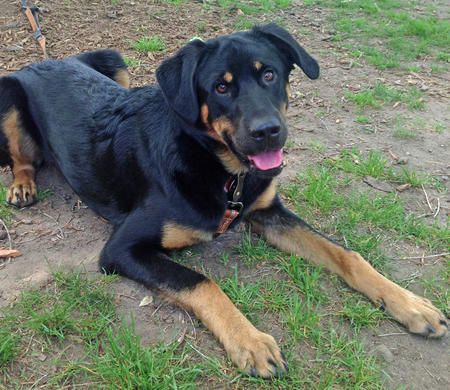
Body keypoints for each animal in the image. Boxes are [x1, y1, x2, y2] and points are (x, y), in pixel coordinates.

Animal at [0, 24, 446, 378]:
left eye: (269, 74)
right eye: (221, 87)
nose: (268, 132)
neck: (222, 170)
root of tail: (48, 60)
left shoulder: (268, 212)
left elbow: (346, 254)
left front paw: (411, 305)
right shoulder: (122, 248)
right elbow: (203, 282)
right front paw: (250, 340)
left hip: (115, 62)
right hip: (10, 95)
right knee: (22, 159)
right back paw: (22, 186)